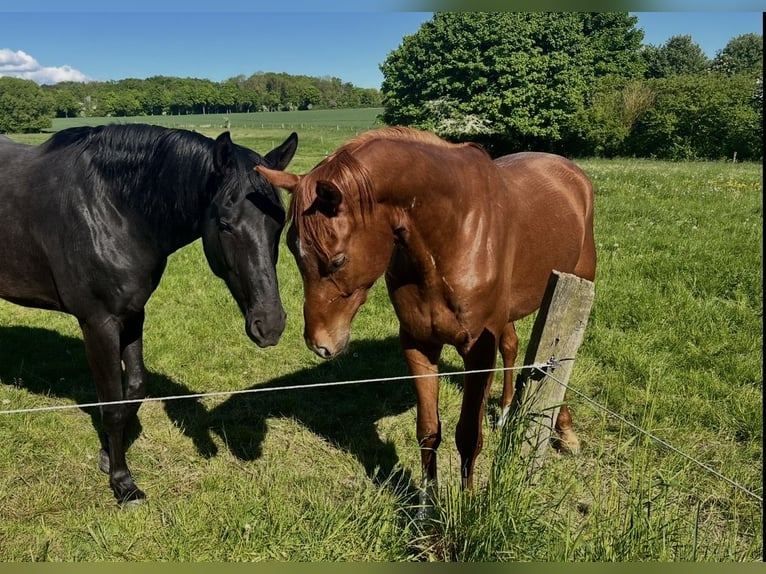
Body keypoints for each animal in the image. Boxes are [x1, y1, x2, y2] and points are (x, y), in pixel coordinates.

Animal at [0, 124, 298, 504]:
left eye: (279, 224)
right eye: (226, 225)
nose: (270, 325)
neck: (113, 208)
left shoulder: (132, 314)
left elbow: (136, 387)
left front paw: (107, 454)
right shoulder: (98, 324)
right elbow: (112, 404)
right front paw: (123, 482)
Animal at [256, 126, 596, 512]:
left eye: (337, 260)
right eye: (290, 250)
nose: (320, 344)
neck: (453, 233)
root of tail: (572, 173)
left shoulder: (478, 351)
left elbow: (468, 434)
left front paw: (465, 506)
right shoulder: (419, 345)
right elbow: (429, 430)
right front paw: (426, 506)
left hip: (576, 285)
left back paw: (565, 432)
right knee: (512, 346)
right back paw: (507, 410)